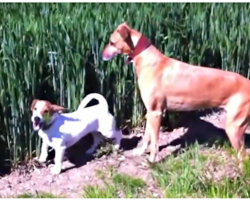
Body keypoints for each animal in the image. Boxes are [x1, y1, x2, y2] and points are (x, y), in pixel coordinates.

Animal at [102, 21, 250, 162]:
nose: (102, 55)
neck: (149, 61)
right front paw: (140, 152)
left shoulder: (156, 113)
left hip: (234, 127)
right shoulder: (150, 112)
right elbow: (146, 136)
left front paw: (152, 161)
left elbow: (154, 142)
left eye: (111, 42)